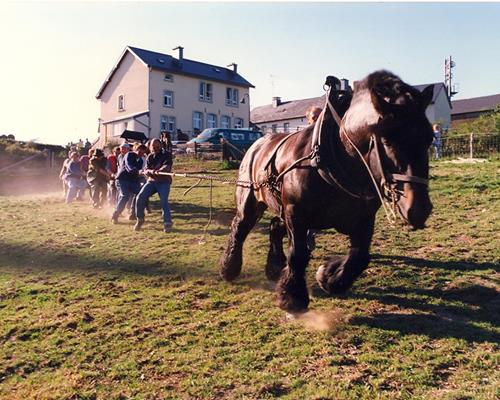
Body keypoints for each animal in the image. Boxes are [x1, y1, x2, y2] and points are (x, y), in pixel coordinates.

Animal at [219, 70, 434, 314]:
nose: (419, 209)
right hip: (250, 200)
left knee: (274, 226)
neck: (336, 157)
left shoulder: (363, 218)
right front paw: (292, 296)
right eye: (388, 140)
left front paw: (329, 277)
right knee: (240, 227)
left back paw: (274, 268)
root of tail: (257, 143)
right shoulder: (296, 213)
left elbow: (359, 257)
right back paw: (229, 267)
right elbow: (298, 254)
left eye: (429, 138)